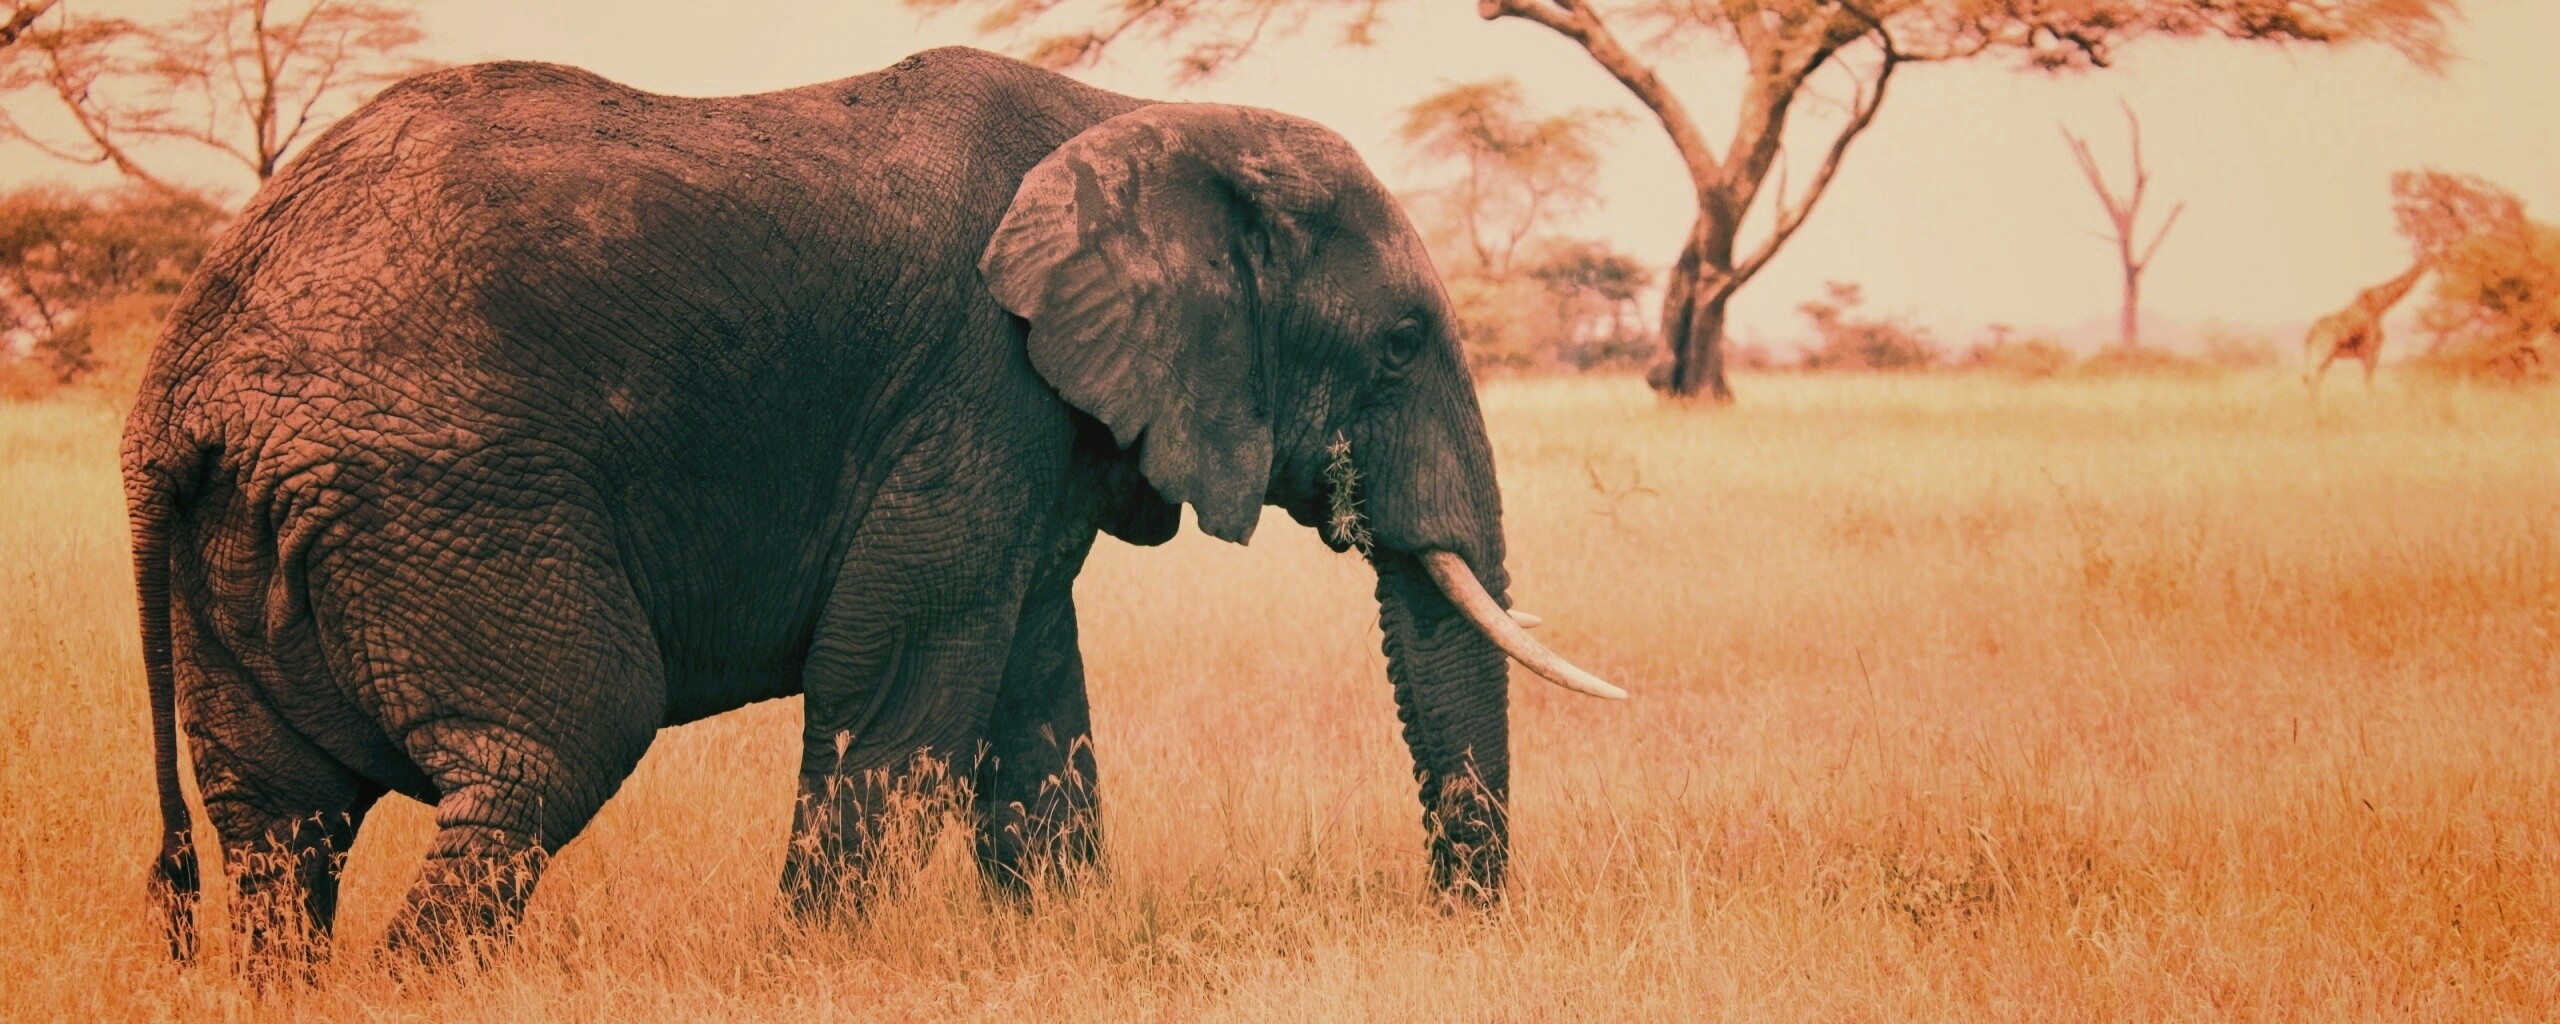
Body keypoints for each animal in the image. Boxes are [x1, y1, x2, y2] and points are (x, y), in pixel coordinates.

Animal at [121, 46, 1622, 967]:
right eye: (1399, 346)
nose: (1456, 925)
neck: (1133, 115)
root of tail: (181, 385)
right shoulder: (976, 382)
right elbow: (900, 677)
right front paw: (818, 966)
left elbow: (1031, 690)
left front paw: (1052, 946)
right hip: (443, 491)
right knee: (548, 751)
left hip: (262, 533)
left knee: (279, 827)